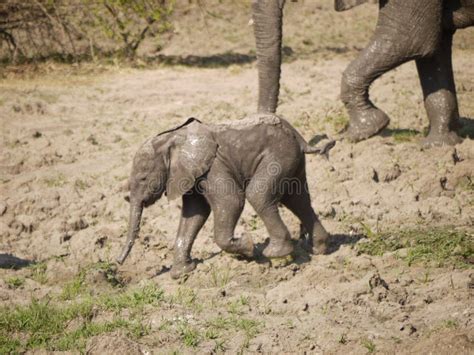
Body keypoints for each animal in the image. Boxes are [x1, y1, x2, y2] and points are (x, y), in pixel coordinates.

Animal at [117, 115, 336, 280]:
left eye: (143, 178)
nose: (117, 263)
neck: (171, 138)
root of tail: (298, 136)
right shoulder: (191, 175)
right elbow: (194, 214)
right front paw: (182, 273)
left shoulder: (214, 166)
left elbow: (230, 201)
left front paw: (248, 247)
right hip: (290, 159)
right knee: (297, 199)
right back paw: (319, 249)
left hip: (279, 155)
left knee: (259, 195)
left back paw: (274, 254)